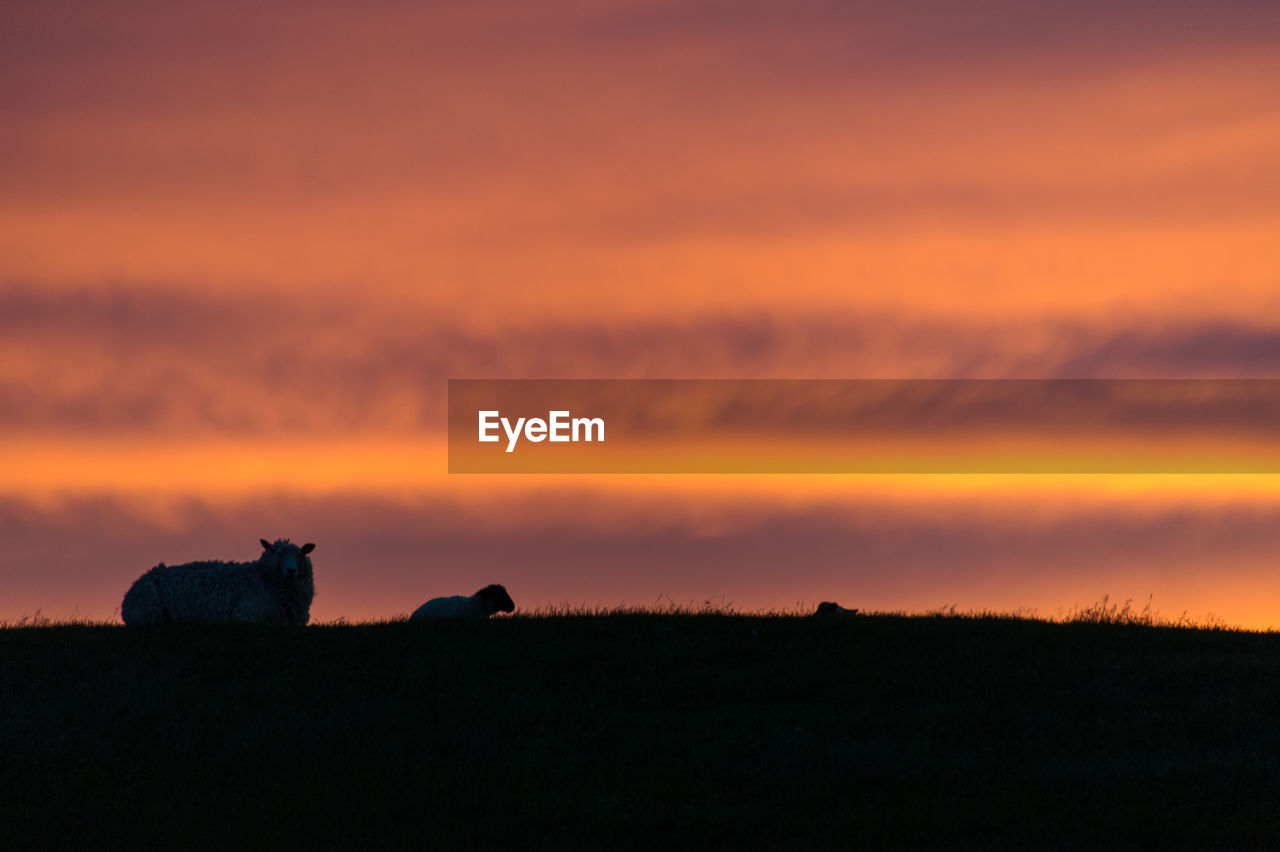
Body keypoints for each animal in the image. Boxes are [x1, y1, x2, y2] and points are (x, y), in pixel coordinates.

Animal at [121, 537, 317, 624]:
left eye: (300, 554)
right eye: (276, 553)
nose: (291, 571)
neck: (262, 578)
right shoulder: (246, 617)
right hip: (149, 616)